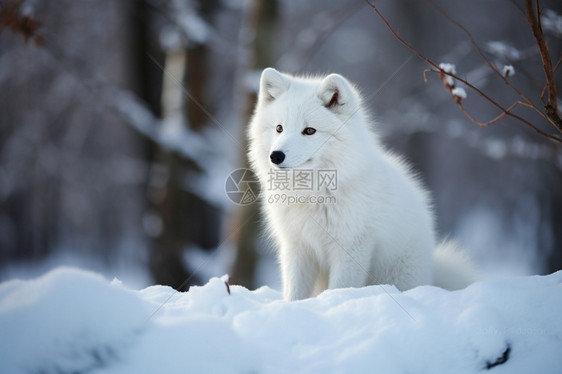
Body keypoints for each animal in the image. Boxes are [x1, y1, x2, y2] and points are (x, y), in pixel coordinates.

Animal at [247, 67, 474, 300]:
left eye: (309, 131)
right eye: (279, 128)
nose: (276, 156)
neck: (313, 194)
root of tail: (431, 270)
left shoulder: (351, 247)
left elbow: (340, 287)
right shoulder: (296, 247)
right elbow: (294, 293)